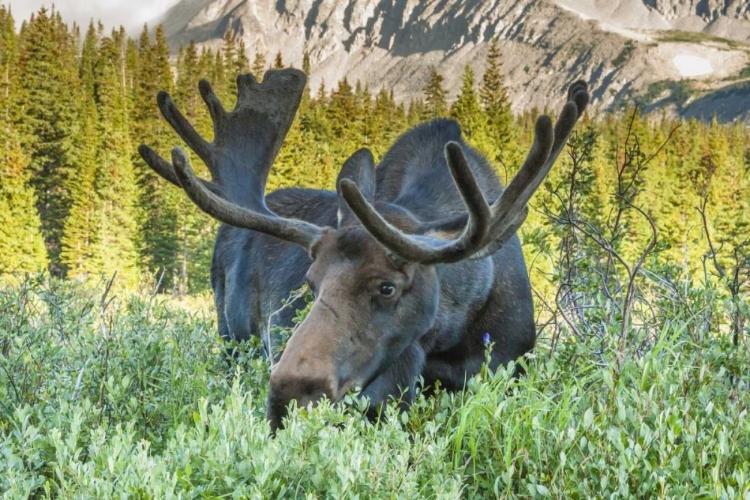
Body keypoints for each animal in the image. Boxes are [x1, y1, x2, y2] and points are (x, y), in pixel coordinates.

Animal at [138, 68, 592, 432]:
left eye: (387, 287)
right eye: (311, 282)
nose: (287, 394)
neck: (456, 331)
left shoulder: (508, 371)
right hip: (231, 343)